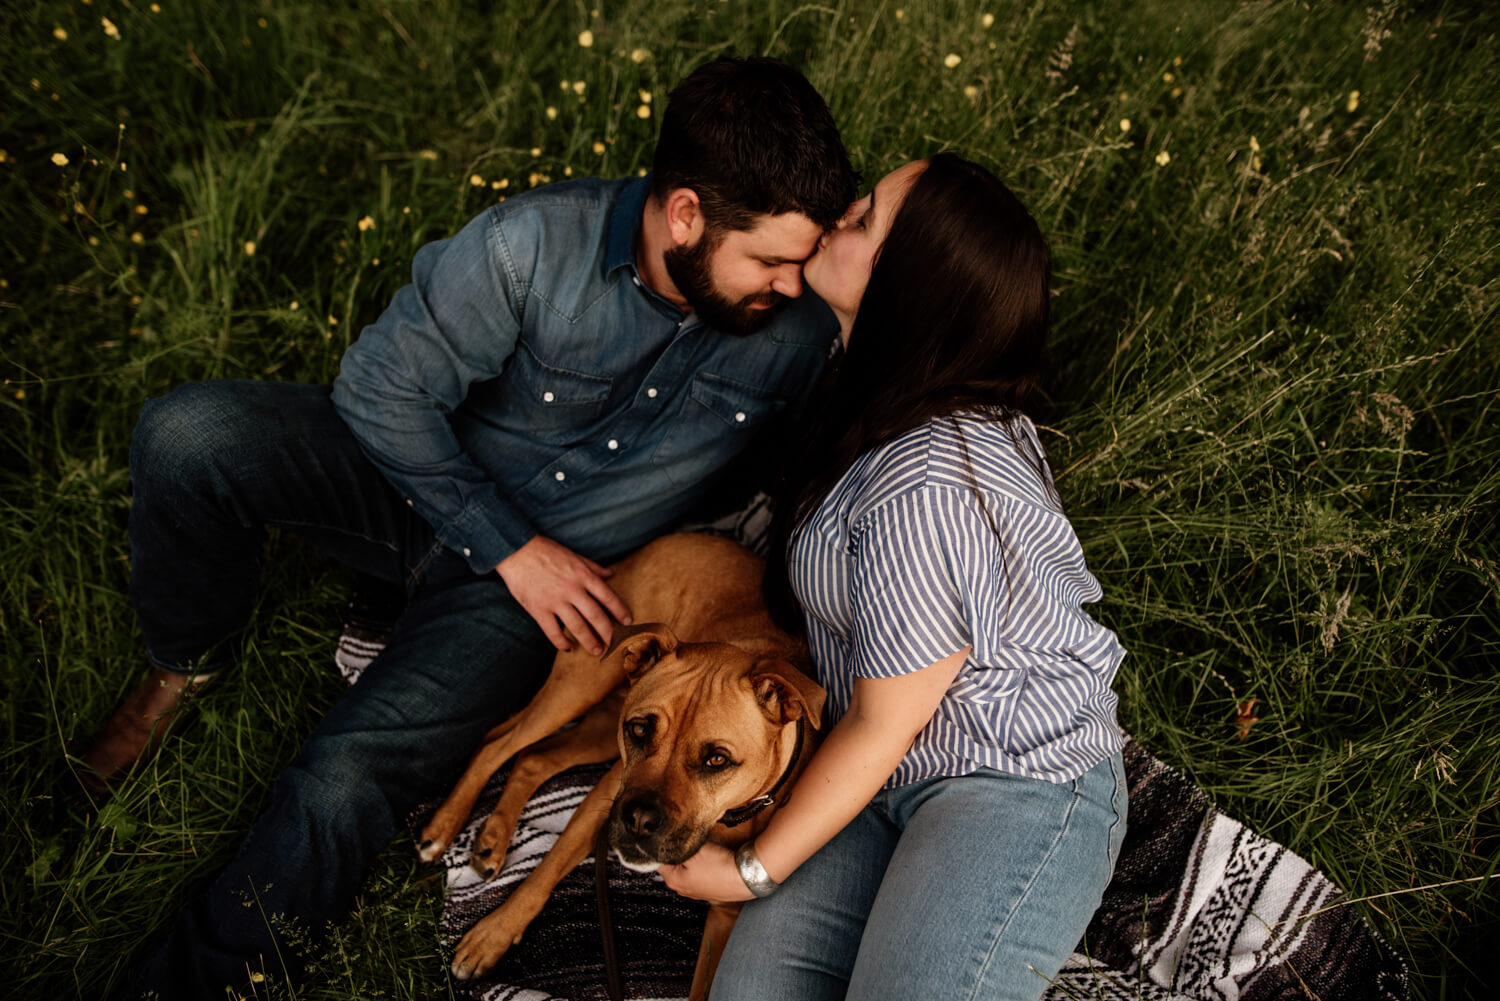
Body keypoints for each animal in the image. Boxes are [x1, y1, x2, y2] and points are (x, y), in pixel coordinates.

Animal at [417, 537, 828, 996]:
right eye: (640, 730)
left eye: (717, 759)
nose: (639, 820)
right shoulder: (604, 797)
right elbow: (545, 872)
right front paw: (492, 936)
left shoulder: (724, 918)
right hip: (580, 689)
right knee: (498, 745)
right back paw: (443, 829)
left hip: (598, 727)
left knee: (531, 758)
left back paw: (492, 839)